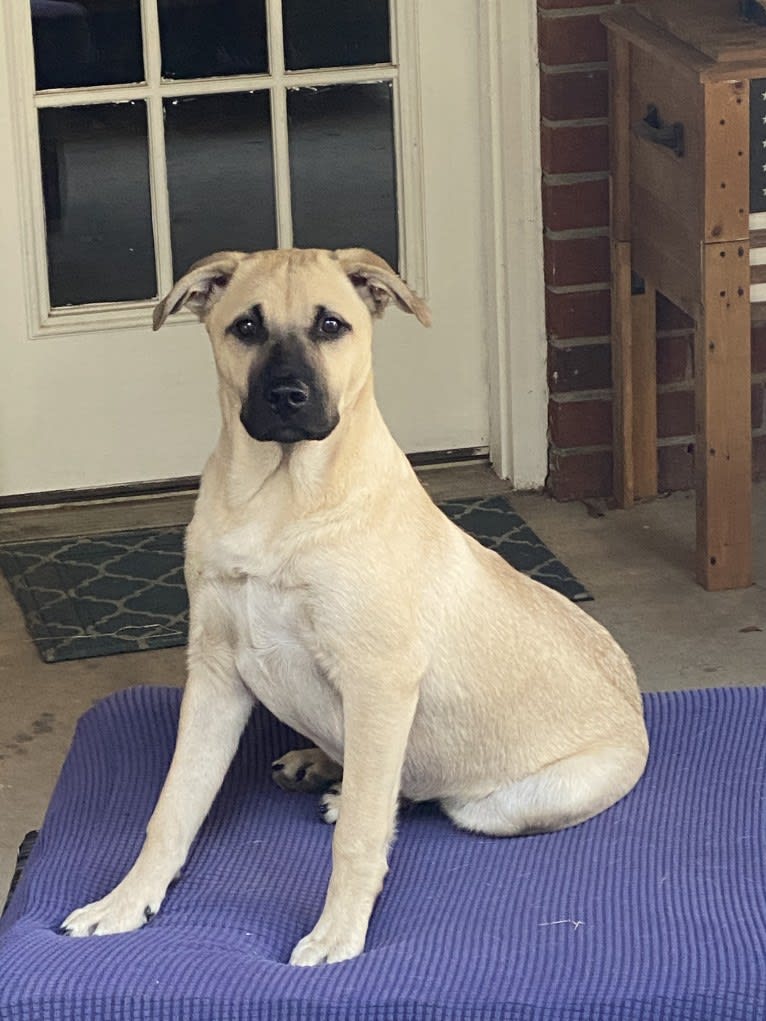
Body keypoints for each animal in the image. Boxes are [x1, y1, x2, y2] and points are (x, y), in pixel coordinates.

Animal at [61, 247, 649, 963]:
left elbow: (362, 834)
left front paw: (338, 932)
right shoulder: (215, 675)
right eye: (247, 328)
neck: (280, 498)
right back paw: (319, 762)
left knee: (420, 793)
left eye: (331, 325)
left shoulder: (379, 683)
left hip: (499, 802)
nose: (288, 397)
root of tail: (637, 710)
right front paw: (124, 902)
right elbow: (173, 806)